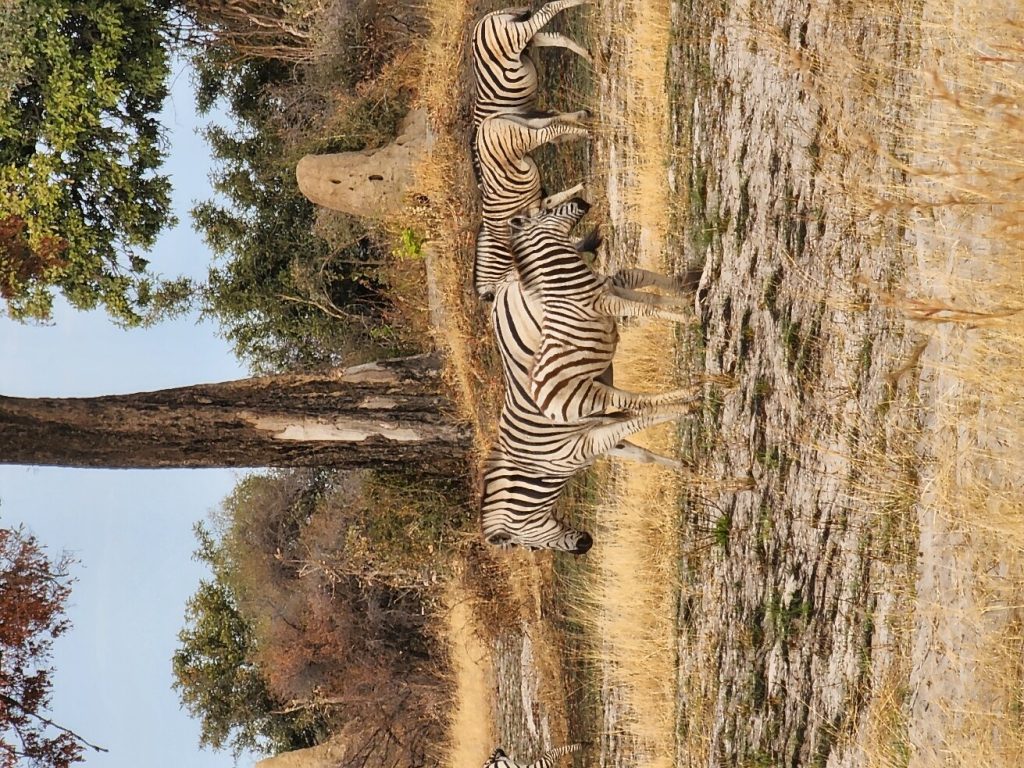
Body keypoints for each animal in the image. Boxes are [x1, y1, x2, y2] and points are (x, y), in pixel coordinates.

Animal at [474, 111, 589, 300]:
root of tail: (483, 125)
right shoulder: (540, 206)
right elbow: (554, 202)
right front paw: (583, 186)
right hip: (520, 124)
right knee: (550, 118)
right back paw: (581, 119)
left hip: (522, 139)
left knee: (550, 130)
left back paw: (585, 133)